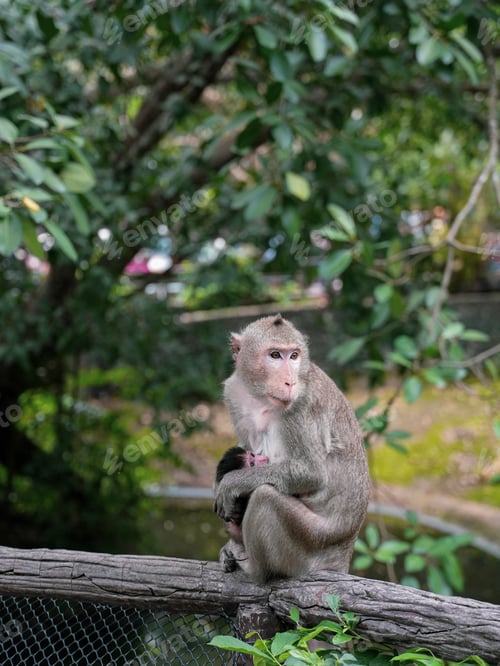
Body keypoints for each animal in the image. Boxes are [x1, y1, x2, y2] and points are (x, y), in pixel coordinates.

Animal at [214, 314, 370, 584]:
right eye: (275, 355)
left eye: (294, 356)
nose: (290, 381)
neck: (262, 396)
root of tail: (342, 555)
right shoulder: (233, 392)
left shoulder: (301, 405)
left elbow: (311, 473)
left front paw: (231, 483)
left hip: (310, 541)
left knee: (265, 497)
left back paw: (255, 570)